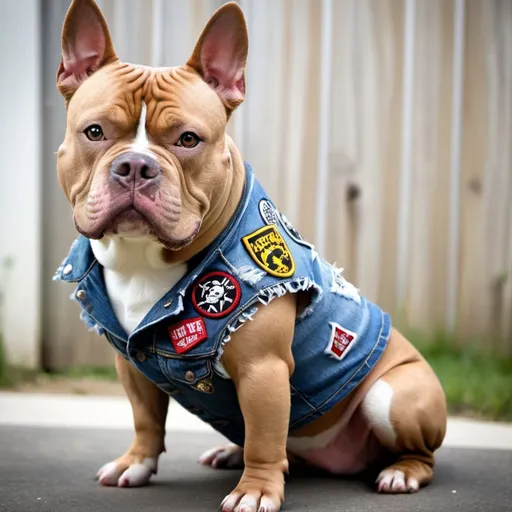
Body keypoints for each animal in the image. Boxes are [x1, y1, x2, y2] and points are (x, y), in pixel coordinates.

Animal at [54, 2, 448, 510]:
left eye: (188, 139)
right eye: (95, 132)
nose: (136, 165)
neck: (146, 261)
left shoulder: (264, 370)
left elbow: (263, 437)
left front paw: (256, 491)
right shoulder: (132, 361)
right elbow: (146, 418)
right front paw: (135, 463)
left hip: (392, 397)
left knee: (420, 452)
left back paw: (401, 472)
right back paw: (228, 453)